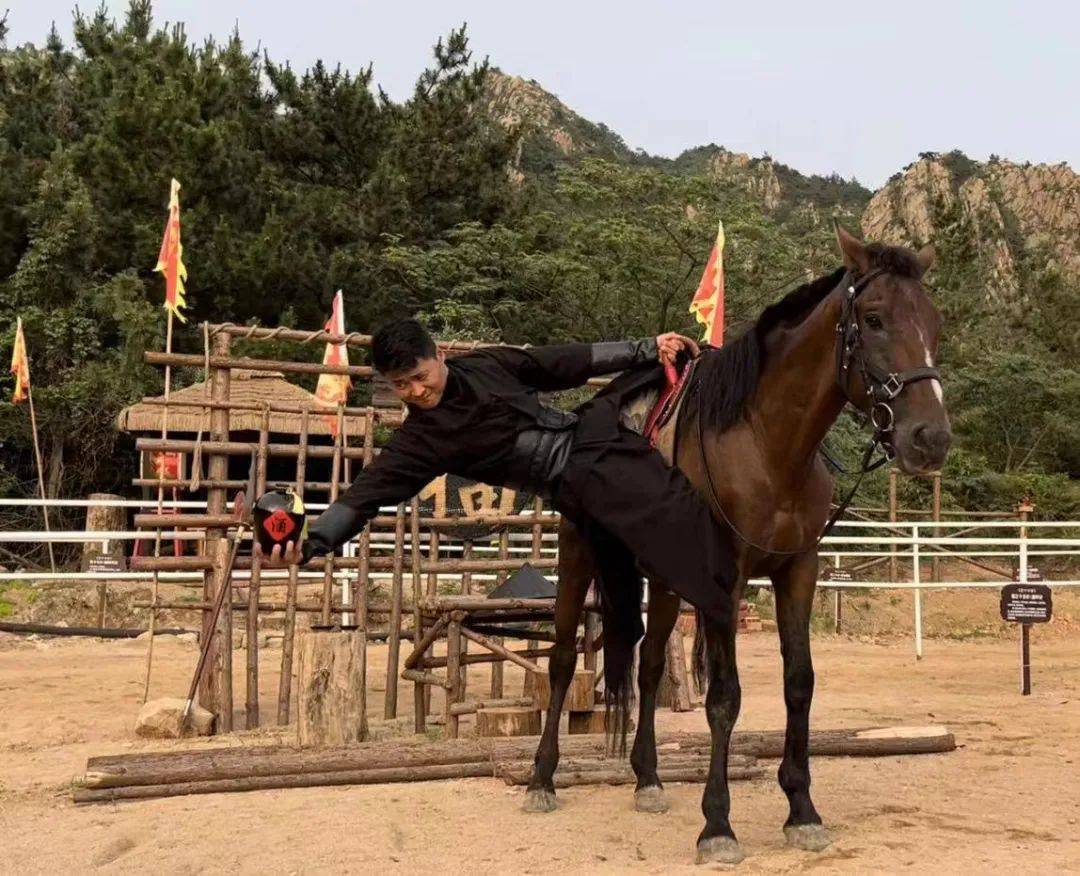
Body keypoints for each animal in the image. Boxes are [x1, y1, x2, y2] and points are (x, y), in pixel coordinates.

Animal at [525, 223, 952, 864]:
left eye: (934, 324)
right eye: (874, 319)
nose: (931, 438)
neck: (768, 443)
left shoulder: (798, 571)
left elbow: (799, 682)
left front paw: (801, 810)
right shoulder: (721, 582)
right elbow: (724, 697)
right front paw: (717, 825)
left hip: (662, 577)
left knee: (650, 665)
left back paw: (648, 780)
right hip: (577, 557)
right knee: (559, 661)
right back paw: (542, 779)